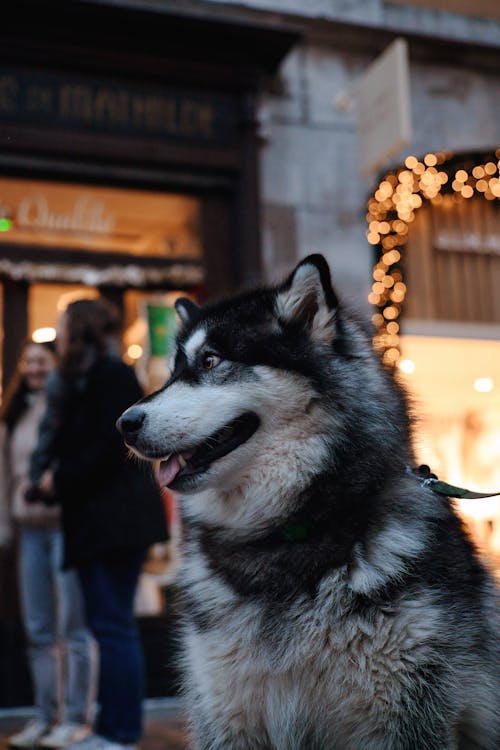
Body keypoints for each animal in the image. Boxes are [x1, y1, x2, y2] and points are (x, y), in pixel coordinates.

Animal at [118, 258, 500, 750]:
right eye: (171, 373)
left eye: (210, 361)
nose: (124, 423)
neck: (283, 539)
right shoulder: (225, 713)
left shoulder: (407, 715)